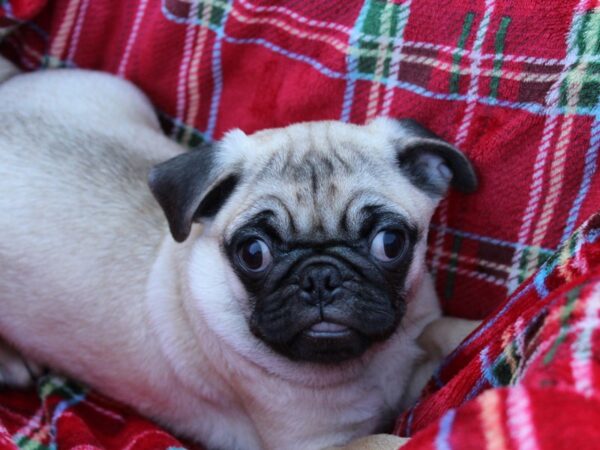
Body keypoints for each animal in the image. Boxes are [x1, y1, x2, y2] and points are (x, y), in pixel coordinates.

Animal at [0, 58, 478, 448]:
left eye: (390, 242)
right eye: (253, 253)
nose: (320, 275)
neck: (368, 364)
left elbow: (447, 332)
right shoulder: (320, 444)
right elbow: (383, 441)